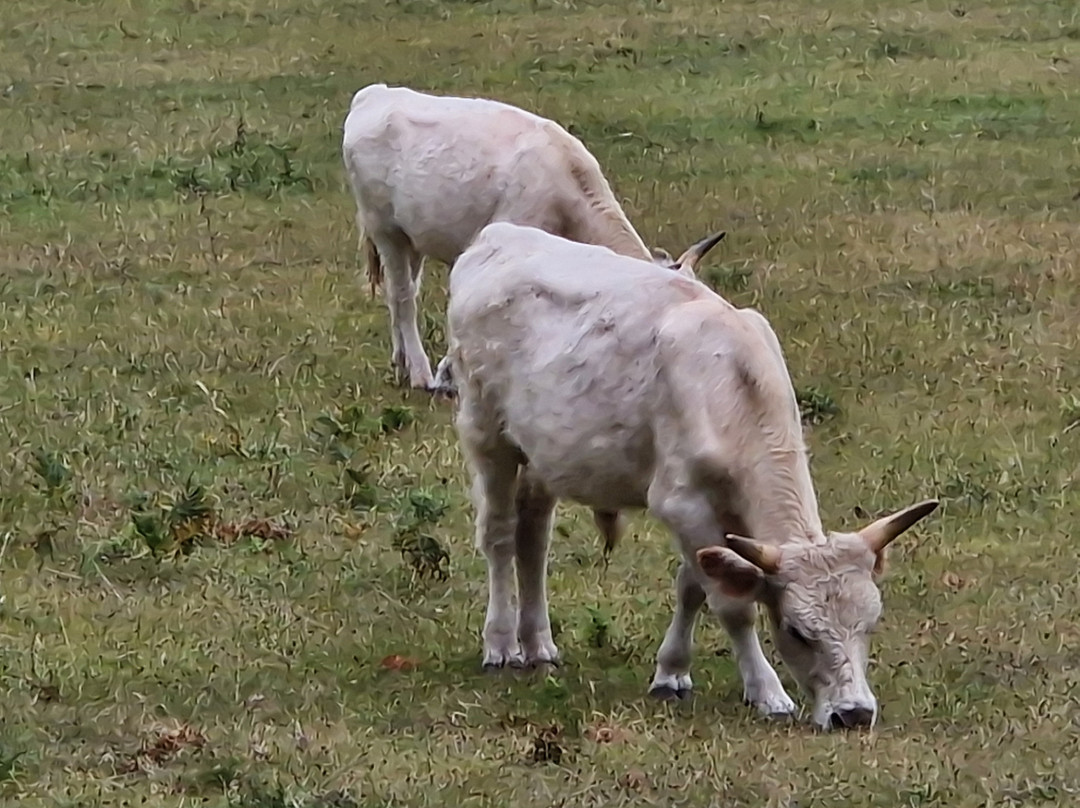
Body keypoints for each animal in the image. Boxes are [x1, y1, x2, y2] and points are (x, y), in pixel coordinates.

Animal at [342, 83, 701, 390]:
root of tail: (373, 95)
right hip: (385, 229)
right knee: (403, 297)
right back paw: (419, 373)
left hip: (412, 238)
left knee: (399, 292)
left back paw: (400, 362)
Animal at [446, 222, 939, 731]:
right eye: (797, 631)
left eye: (870, 622)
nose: (854, 713)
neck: (735, 385)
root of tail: (499, 235)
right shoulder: (682, 502)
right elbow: (732, 606)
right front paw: (767, 691)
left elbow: (693, 586)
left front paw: (672, 671)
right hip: (487, 433)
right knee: (499, 535)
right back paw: (501, 644)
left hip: (541, 455)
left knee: (533, 537)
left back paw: (539, 643)